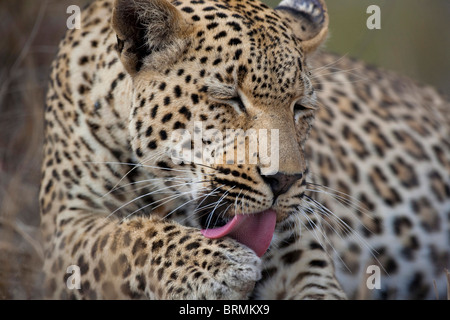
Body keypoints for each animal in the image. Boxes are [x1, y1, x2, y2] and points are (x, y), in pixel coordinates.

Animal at [39, 0, 450, 300]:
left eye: (300, 107)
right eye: (230, 99)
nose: (284, 180)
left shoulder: (299, 252)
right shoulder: (64, 227)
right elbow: (124, 239)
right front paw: (218, 265)